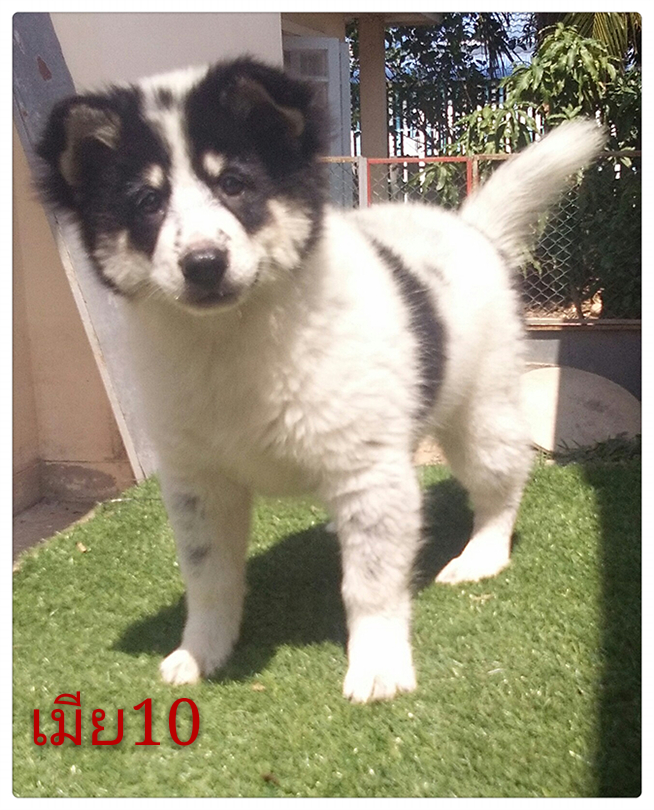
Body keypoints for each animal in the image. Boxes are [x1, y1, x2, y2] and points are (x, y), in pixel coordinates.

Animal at [37, 57, 605, 703]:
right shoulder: (197, 481)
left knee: (499, 484)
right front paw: (201, 653)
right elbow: (209, 577)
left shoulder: (366, 466)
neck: (235, 338)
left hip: (480, 411)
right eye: (147, 202)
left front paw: (378, 664)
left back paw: (482, 555)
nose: (203, 264)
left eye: (235, 185)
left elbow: (371, 583)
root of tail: (470, 229)